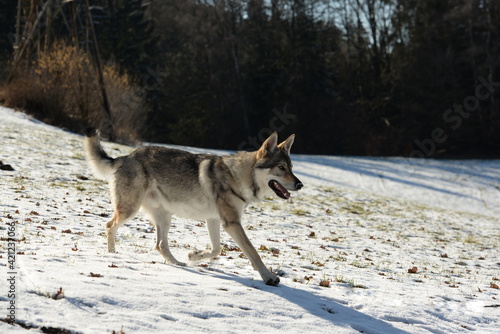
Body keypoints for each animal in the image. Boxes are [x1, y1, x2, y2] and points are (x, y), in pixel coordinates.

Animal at [84, 130, 302, 284]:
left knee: (160, 244)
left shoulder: (215, 220)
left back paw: (177, 263)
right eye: (281, 168)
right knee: (109, 226)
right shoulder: (231, 223)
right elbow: (252, 252)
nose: (300, 184)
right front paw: (269, 277)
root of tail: (126, 157)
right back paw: (113, 255)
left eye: (291, 168)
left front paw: (193, 255)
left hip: (164, 217)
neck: (239, 176)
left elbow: (216, 249)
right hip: (130, 210)